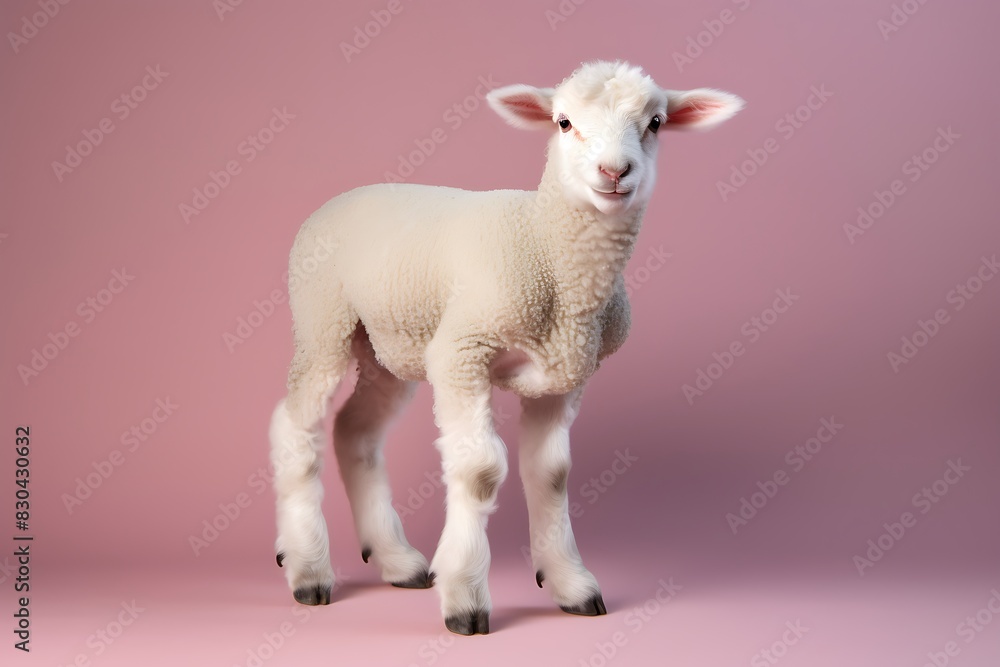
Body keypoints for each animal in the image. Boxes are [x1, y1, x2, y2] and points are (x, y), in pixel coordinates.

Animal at [269, 60, 743, 635]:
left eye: (655, 123)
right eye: (563, 122)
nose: (614, 172)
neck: (550, 250)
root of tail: (339, 199)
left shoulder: (565, 375)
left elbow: (552, 475)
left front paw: (569, 584)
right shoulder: (463, 351)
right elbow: (478, 471)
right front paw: (465, 597)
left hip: (389, 348)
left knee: (354, 431)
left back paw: (396, 559)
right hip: (323, 320)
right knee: (296, 427)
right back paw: (307, 569)